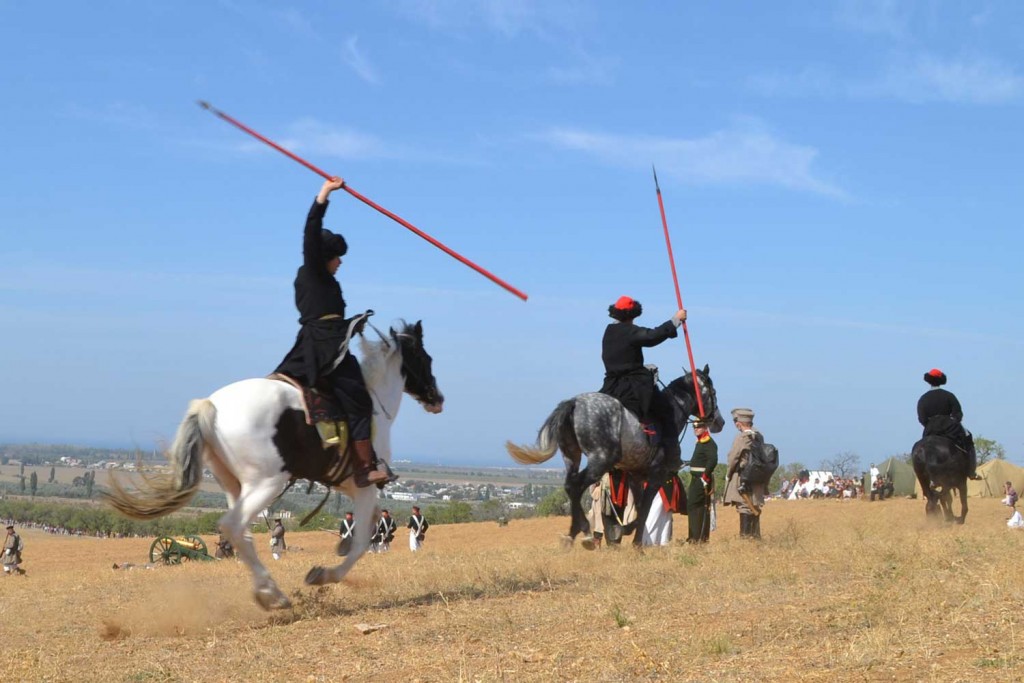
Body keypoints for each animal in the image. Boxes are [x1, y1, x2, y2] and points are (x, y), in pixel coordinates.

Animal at [105, 321, 442, 610]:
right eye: (425, 358)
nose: (437, 398)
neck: (373, 403)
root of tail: (209, 406)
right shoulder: (365, 486)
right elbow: (361, 540)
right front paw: (323, 574)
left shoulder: (350, 486)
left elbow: (368, 528)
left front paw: (337, 553)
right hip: (266, 483)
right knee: (234, 526)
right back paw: (271, 594)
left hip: (234, 484)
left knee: (242, 535)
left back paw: (270, 591)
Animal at [507, 366, 724, 548]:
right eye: (713, 392)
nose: (719, 422)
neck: (671, 411)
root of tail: (574, 403)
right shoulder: (657, 475)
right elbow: (645, 508)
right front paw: (635, 541)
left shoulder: (636, 476)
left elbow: (639, 507)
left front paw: (628, 532)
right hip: (601, 460)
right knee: (576, 485)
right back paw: (585, 531)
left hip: (572, 457)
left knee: (570, 485)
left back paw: (573, 533)